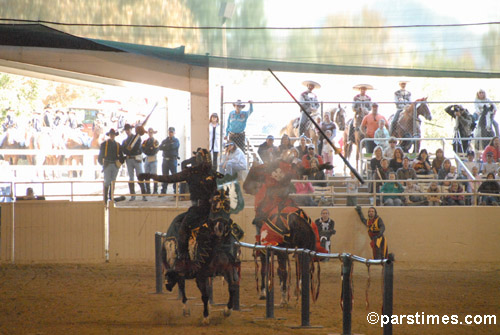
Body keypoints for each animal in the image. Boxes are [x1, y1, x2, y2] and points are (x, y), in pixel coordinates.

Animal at [161, 190, 243, 326]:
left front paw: (226, 311)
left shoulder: (228, 269)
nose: (220, 227)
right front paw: (205, 317)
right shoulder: (200, 275)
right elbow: (204, 296)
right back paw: (186, 309)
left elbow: (232, 288)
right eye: (214, 206)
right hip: (177, 266)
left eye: (227, 205)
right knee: (182, 286)